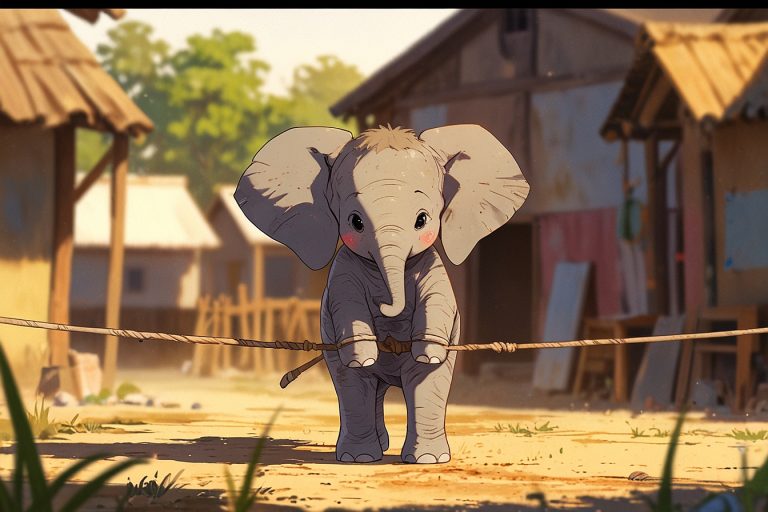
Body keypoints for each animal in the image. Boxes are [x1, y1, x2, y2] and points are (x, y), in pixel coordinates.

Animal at [234, 124, 529, 464]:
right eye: (355, 222)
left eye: (422, 220)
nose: (387, 308)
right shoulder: (343, 270)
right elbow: (346, 303)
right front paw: (363, 357)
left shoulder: (431, 266)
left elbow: (437, 302)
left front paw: (428, 352)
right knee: (355, 387)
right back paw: (361, 457)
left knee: (425, 383)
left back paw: (426, 459)